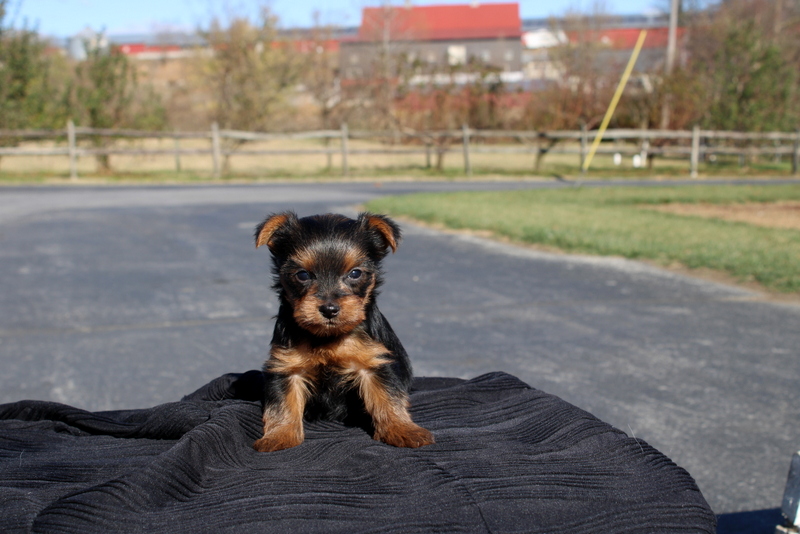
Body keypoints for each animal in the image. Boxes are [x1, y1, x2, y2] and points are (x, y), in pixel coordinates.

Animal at [253, 211, 434, 454]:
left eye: (355, 273)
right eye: (303, 275)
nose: (329, 309)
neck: (327, 337)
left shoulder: (374, 362)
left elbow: (388, 398)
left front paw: (403, 429)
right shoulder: (286, 367)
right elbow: (282, 404)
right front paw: (278, 435)